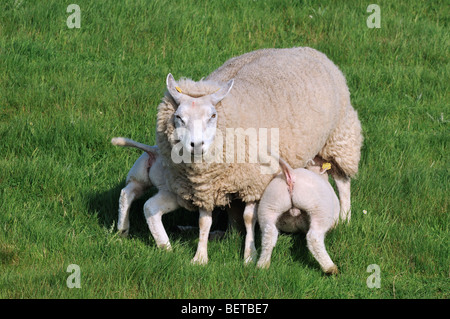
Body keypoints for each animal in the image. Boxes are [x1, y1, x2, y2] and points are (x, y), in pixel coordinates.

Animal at [155, 45, 362, 264]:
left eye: (213, 115)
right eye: (179, 117)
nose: (196, 145)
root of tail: (306, 48)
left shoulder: (254, 181)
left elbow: (249, 217)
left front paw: (249, 254)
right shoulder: (205, 186)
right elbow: (204, 221)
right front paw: (200, 257)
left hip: (340, 137)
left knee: (342, 181)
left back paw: (345, 218)